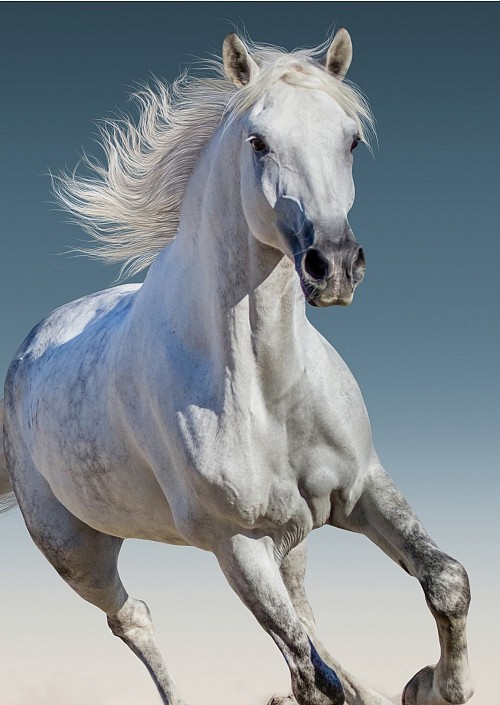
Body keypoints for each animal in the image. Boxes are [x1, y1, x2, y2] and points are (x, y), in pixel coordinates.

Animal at [0, 29, 473, 705]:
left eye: (351, 139)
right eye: (259, 141)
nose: (333, 264)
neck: (267, 386)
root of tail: (30, 349)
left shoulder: (361, 487)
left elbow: (446, 580)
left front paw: (434, 686)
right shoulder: (236, 544)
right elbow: (307, 674)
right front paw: (423, 685)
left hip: (292, 530)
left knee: (303, 606)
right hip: (76, 551)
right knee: (132, 617)